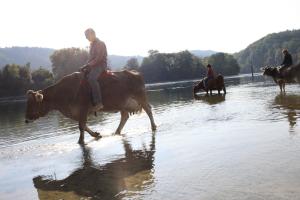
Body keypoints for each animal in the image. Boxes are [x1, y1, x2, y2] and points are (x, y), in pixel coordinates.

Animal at [25, 70, 157, 144]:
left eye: (32, 103)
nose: (26, 119)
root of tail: (134, 72)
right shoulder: (77, 113)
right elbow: (84, 126)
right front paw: (96, 134)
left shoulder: (83, 109)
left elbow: (81, 126)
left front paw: (80, 141)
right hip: (122, 104)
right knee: (125, 116)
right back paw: (117, 132)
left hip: (141, 97)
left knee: (149, 110)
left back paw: (153, 126)